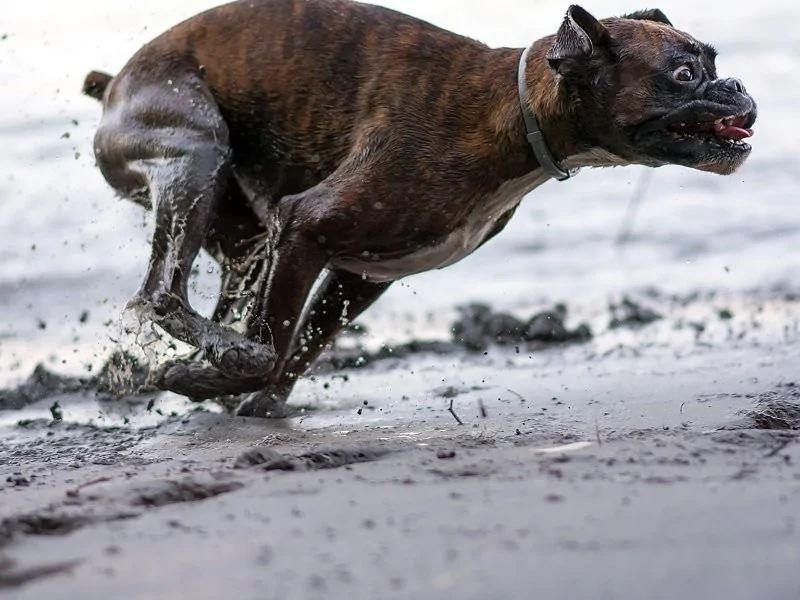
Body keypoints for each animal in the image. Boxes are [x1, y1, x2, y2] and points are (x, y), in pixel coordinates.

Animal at [81, 1, 756, 418]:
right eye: (685, 73)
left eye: (714, 61)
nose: (739, 87)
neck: (511, 111)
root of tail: (115, 83)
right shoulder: (304, 227)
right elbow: (275, 346)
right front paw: (210, 379)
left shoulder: (359, 272)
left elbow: (299, 347)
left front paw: (243, 397)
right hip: (195, 148)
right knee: (161, 294)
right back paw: (220, 353)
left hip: (243, 234)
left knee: (218, 299)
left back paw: (218, 355)